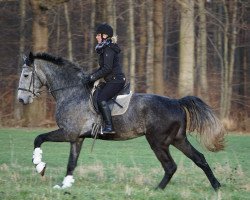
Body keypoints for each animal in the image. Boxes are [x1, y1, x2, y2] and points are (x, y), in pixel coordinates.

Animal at [17, 52, 225, 190]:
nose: (21, 100)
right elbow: (71, 163)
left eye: (26, 75)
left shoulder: (68, 133)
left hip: (158, 142)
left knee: (170, 166)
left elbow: (38, 138)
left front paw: (39, 165)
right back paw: (216, 186)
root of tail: (176, 102)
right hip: (178, 139)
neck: (71, 92)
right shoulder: (77, 138)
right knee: (199, 159)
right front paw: (65, 185)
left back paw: (157, 189)